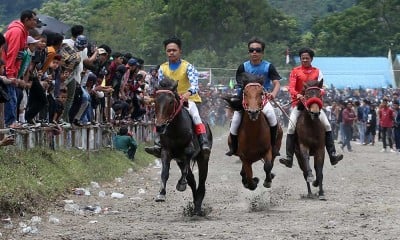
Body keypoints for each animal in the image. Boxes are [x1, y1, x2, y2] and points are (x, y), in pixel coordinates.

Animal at [152, 77, 212, 216]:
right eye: (155, 101)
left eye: (170, 102)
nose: (160, 127)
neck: (175, 129)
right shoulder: (166, 151)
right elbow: (165, 172)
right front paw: (161, 194)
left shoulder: (189, 151)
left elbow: (186, 167)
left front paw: (181, 184)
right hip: (179, 160)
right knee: (192, 180)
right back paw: (195, 203)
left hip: (203, 158)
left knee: (201, 181)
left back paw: (198, 206)